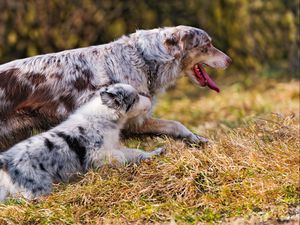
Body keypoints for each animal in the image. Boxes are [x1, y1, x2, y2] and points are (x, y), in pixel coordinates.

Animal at [0, 25, 232, 151]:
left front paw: (198, 140)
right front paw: (197, 139)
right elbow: (176, 124)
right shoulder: (134, 120)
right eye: (207, 45)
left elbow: (175, 127)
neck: (144, 59)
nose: (229, 60)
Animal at [0, 83, 165, 201]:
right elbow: (123, 157)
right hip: (37, 188)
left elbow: (135, 152)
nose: (150, 100)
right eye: (135, 98)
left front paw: (156, 152)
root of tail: (6, 160)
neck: (105, 116)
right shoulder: (99, 154)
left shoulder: (112, 146)